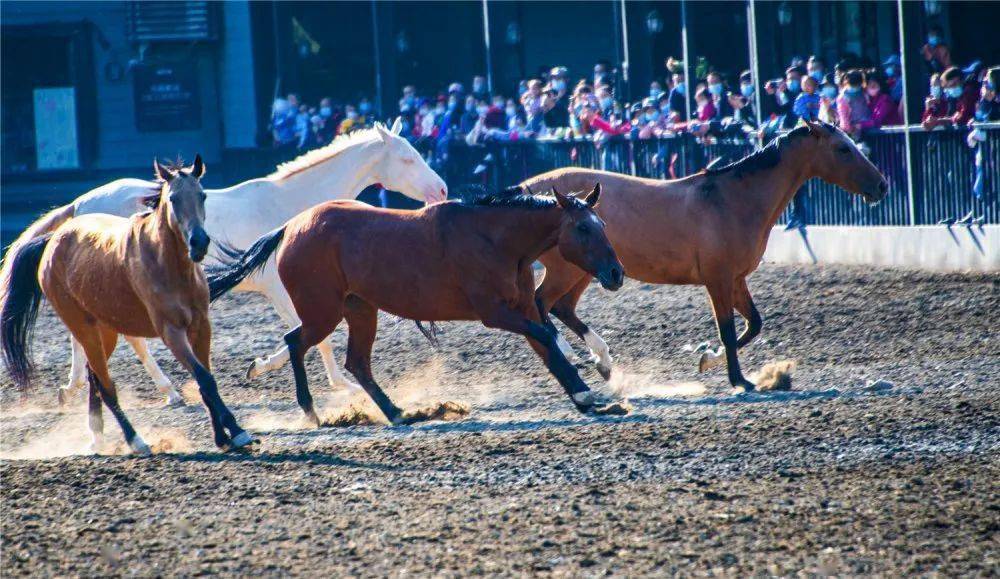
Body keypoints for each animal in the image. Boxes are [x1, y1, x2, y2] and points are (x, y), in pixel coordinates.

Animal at [0, 120, 446, 406]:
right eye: (408, 158)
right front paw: (281, 372)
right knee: (124, 339)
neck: (292, 207)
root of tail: (80, 206)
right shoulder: (282, 290)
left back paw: (81, 388)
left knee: (91, 336)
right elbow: (312, 336)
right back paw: (165, 390)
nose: (442, 189)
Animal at [0, 157, 250, 454]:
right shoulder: (172, 332)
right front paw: (236, 432)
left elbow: (206, 379)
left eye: (202, 195)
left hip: (106, 331)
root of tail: (53, 241)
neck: (168, 265)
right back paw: (135, 440)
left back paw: (98, 438)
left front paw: (222, 437)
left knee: (95, 377)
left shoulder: (201, 327)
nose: (199, 243)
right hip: (84, 329)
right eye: (173, 198)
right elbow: (205, 378)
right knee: (106, 386)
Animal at [205, 186, 624, 426]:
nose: (616, 273)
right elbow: (548, 339)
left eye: (603, 224)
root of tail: (291, 227)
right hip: (323, 313)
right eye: (582, 227)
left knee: (356, 362)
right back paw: (310, 410)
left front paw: (587, 397)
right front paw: (587, 393)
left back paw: (396, 412)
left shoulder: (522, 309)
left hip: (360, 310)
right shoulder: (496, 313)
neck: (496, 240)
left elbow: (547, 346)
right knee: (295, 341)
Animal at [524, 123, 884, 394]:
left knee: (560, 307)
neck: (730, 200)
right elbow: (727, 329)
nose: (881, 185)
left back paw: (602, 362)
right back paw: (571, 354)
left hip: (589, 270)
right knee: (541, 302)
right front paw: (739, 380)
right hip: (569, 269)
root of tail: (531, 187)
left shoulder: (737, 278)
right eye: (843, 149)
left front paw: (709, 358)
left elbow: (753, 323)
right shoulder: (717, 279)